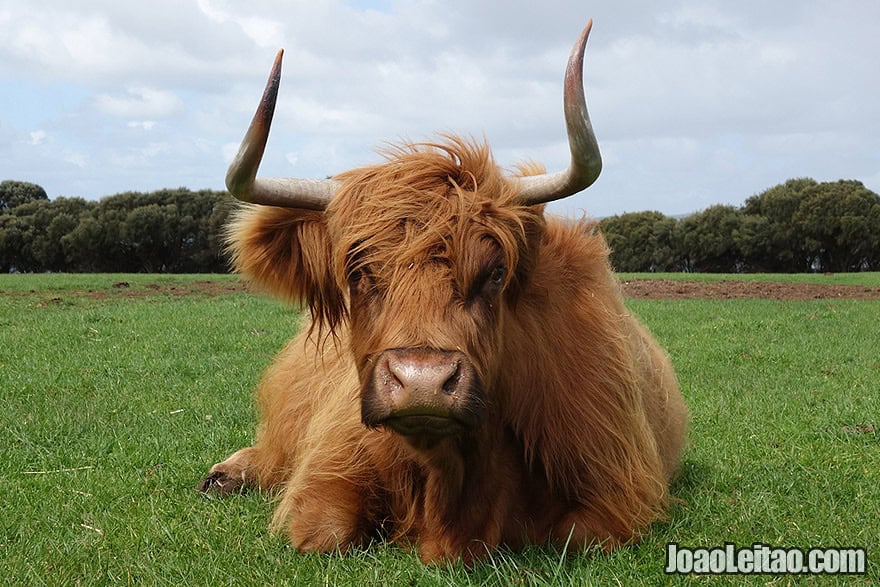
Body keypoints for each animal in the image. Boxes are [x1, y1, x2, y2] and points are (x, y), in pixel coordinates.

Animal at [201, 21, 688, 564]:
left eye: (495, 272)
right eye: (359, 272)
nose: (422, 382)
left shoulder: (617, 492)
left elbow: (573, 537)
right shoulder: (325, 472)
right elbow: (324, 532)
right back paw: (226, 473)